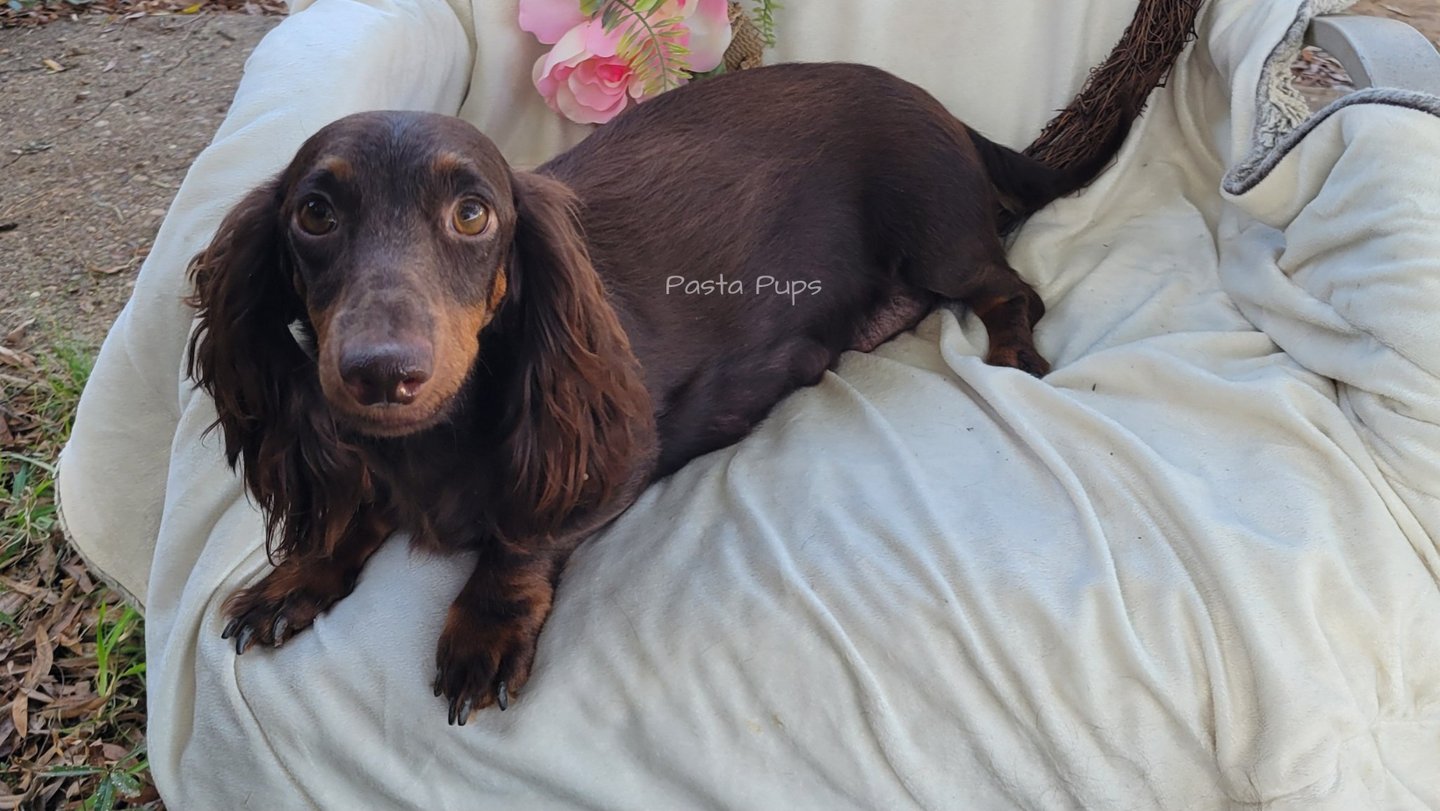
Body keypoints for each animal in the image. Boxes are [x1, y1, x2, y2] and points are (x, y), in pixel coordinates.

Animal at [188, 62, 1138, 723]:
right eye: (314, 213)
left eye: (473, 213)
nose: (381, 372)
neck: (433, 438)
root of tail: (935, 104)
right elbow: (357, 508)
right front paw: (297, 576)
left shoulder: (612, 453)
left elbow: (519, 536)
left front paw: (485, 626)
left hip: (940, 236)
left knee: (1013, 290)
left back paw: (1013, 350)